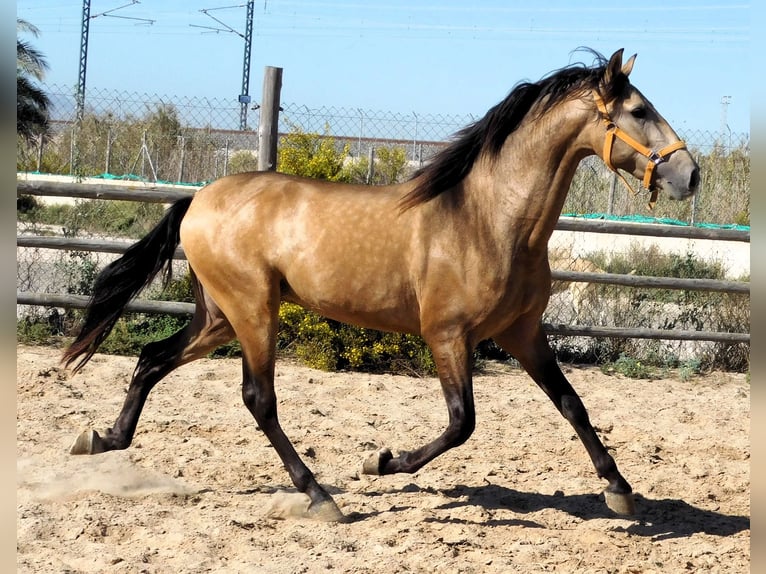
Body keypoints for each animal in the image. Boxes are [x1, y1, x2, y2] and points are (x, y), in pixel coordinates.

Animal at [64, 49, 704, 524]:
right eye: (639, 110)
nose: (690, 174)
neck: (489, 221)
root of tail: (198, 197)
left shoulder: (522, 333)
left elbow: (572, 403)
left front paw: (620, 490)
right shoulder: (447, 334)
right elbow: (461, 423)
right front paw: (381, 461)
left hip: (219, 314)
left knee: (152, 357)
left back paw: (100, 439)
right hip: (252, 310)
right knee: (258, 398)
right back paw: (321, 497)